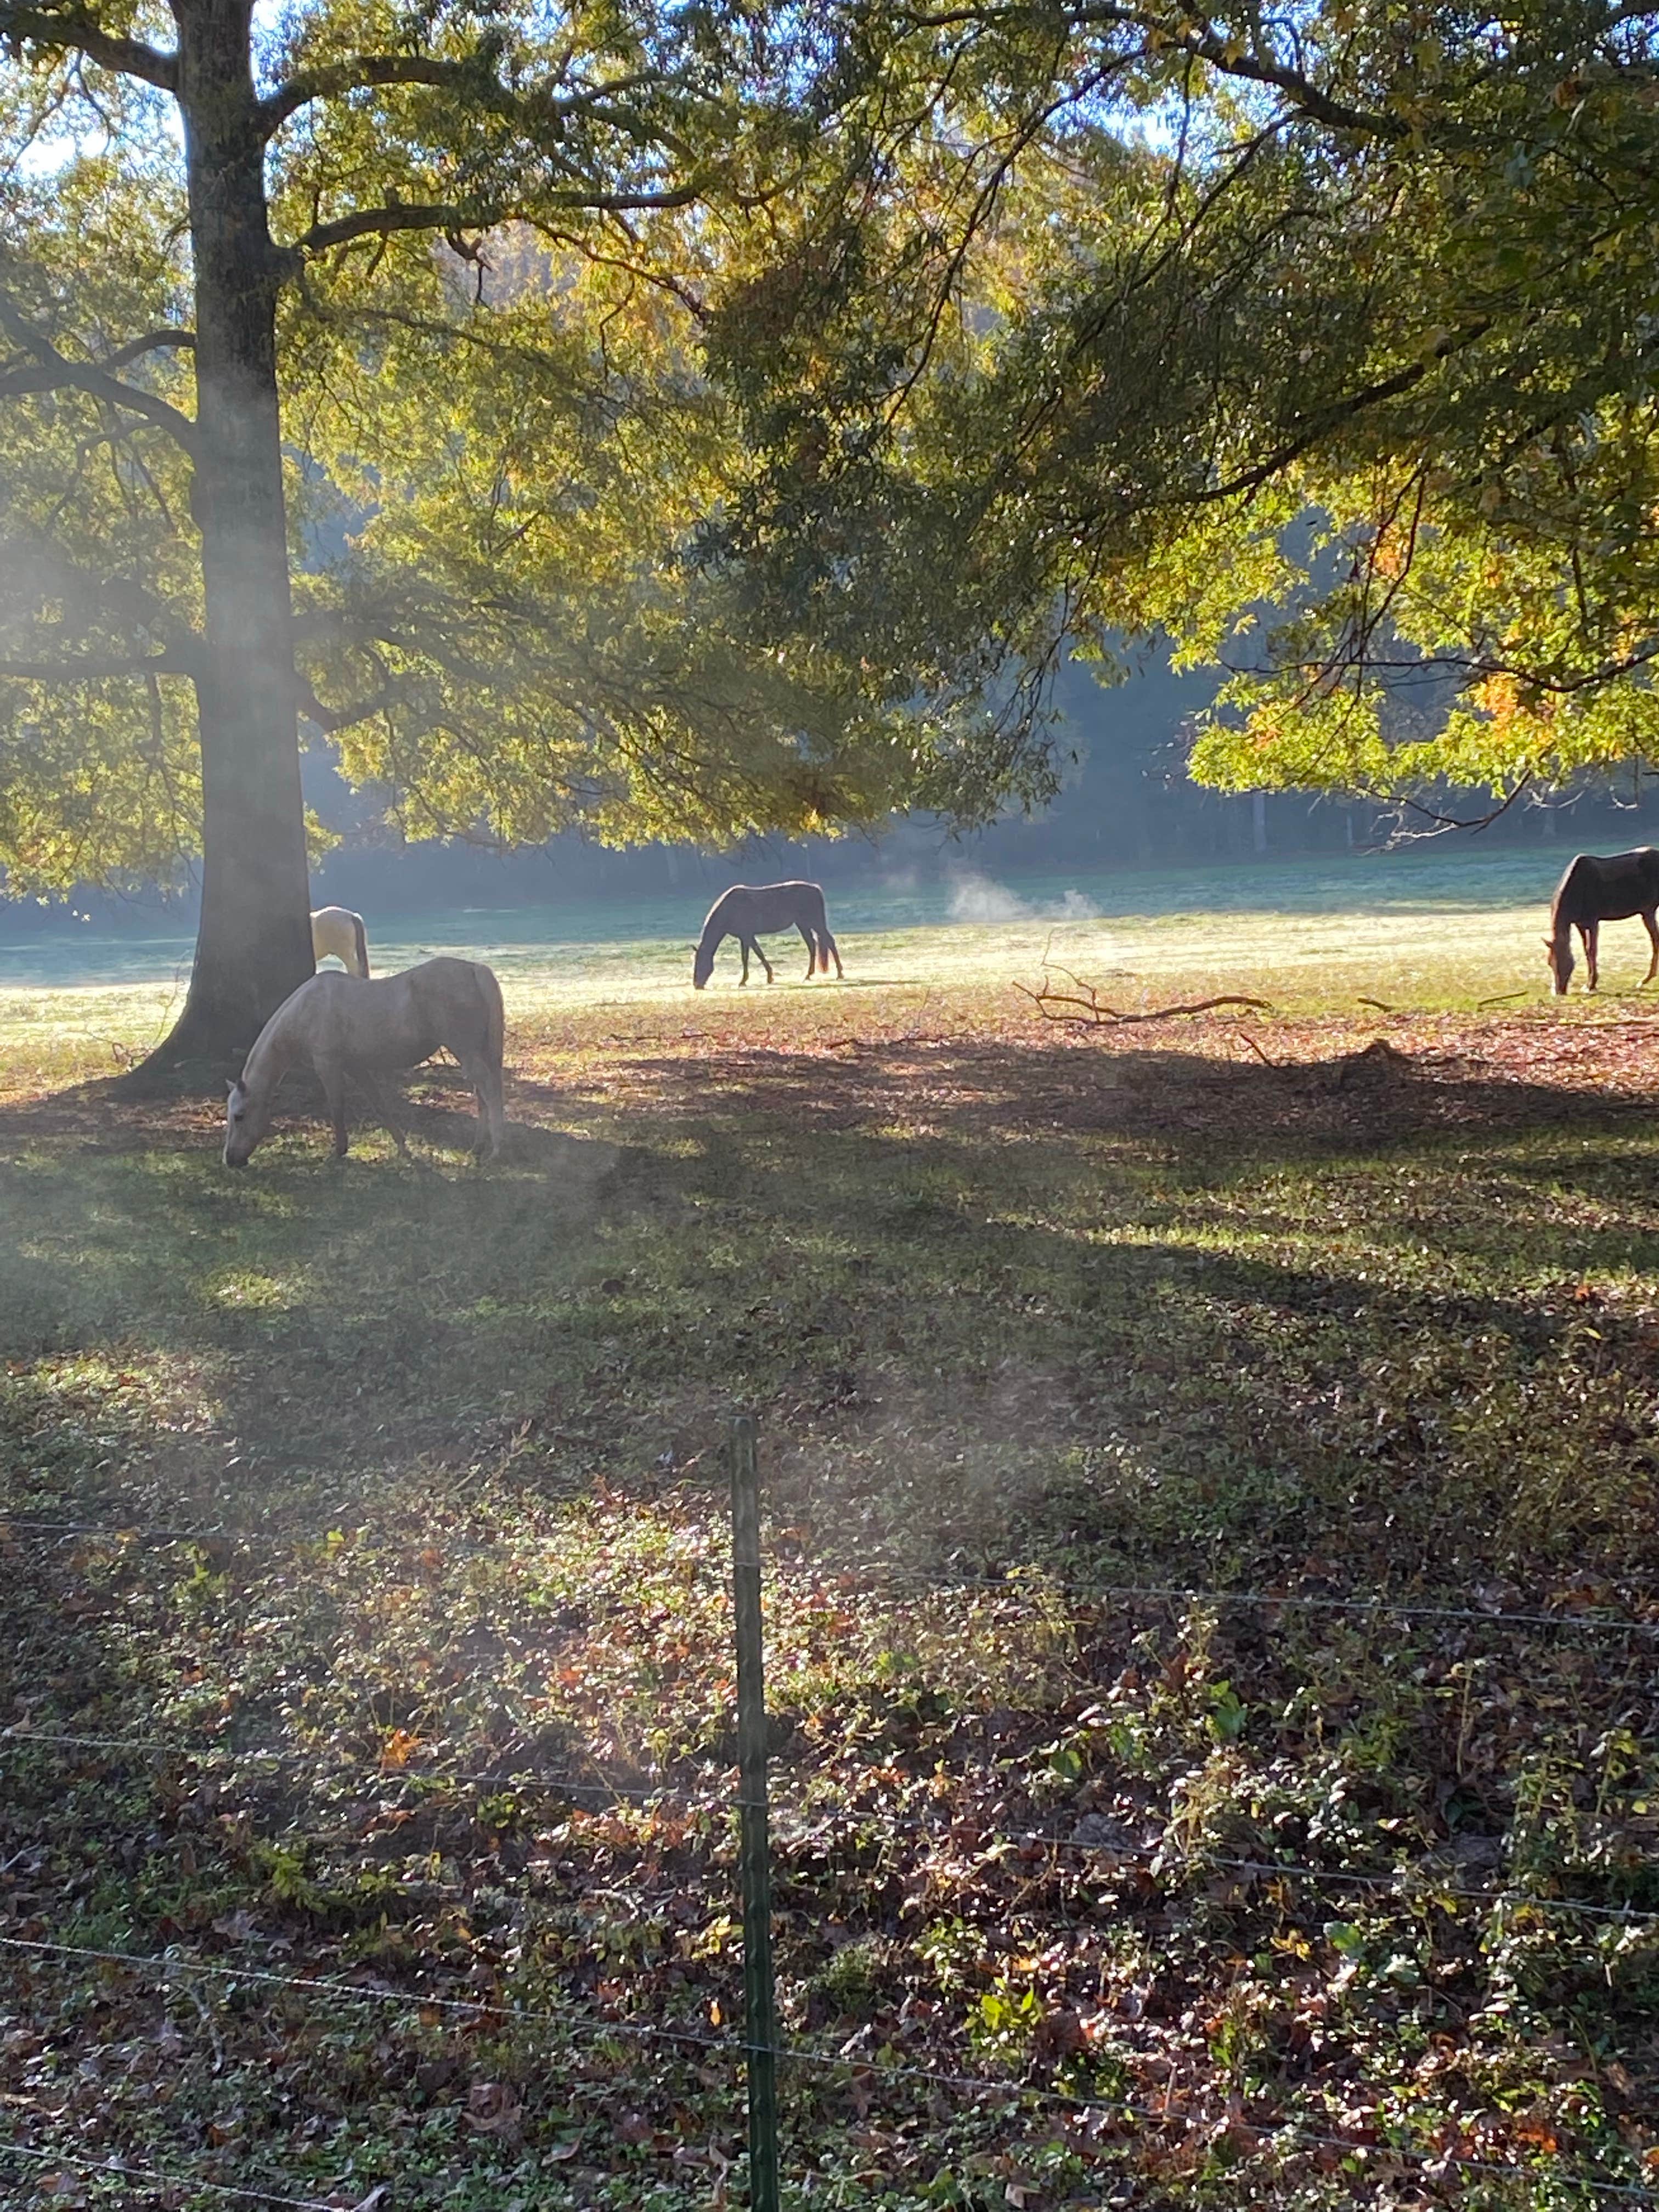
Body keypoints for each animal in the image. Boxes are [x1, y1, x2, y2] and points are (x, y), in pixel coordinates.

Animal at [224, 957, 506, 1166]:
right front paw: (404, 1149)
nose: (230, 1160)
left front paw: (338, 1152)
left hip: (467, 1052)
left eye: (240, 1116)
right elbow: (380, 1106)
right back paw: (478, 1148)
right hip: (477, 1053)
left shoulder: (328, 1065)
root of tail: (474, 970)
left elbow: (337, 1108)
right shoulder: (357, 1067)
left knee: (491, 1092)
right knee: (482, 1094)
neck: (307, 1009)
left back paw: (497, 1152)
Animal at [692, 882, 844, 989]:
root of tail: (816, 889)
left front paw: (749, 980)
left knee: (830, 942)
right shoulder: (747, 937)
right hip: (803, 925)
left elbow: (751, 956)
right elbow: (753, 956)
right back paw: (808, 975)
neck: (730, 909)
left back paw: (840, 974)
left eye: (700, 963)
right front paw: (762, 978)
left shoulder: (746, 936)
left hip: (815, 923)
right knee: (812, 945)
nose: (697, 985)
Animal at [1544, 849, 1659, 994]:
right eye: (1549, 962)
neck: (1577, 888)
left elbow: (1592, 950)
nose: (1558, 992)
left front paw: (1591, 985)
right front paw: (1589, 984)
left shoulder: (1593, 922)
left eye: (1564, 960)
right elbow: (1586, 951)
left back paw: (1645, 979)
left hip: (1648, 912)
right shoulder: (1581, 924)